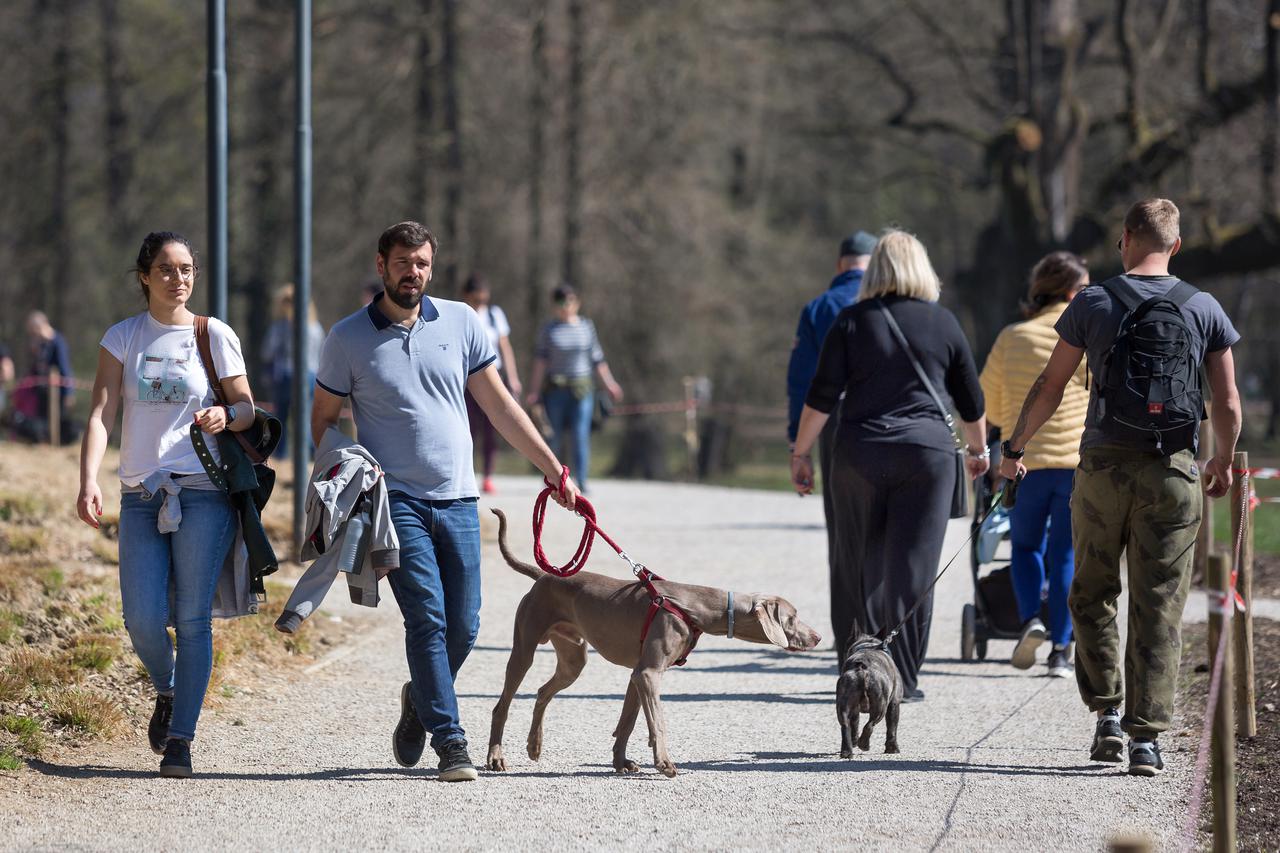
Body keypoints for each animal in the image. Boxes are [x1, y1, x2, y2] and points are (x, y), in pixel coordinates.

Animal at [483, 507, 824, 773]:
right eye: (793, 617)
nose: (819, 637)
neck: (692, 607)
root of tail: (544, 576)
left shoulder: (637, 675)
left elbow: (628, 723)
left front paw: (621, 763)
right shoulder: (648, 674)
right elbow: (657, 721)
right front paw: (664, 764)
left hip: (573, 658)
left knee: (543, 692)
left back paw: (535, 746)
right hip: (524, 649)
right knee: (502, 705)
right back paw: (496, 758)